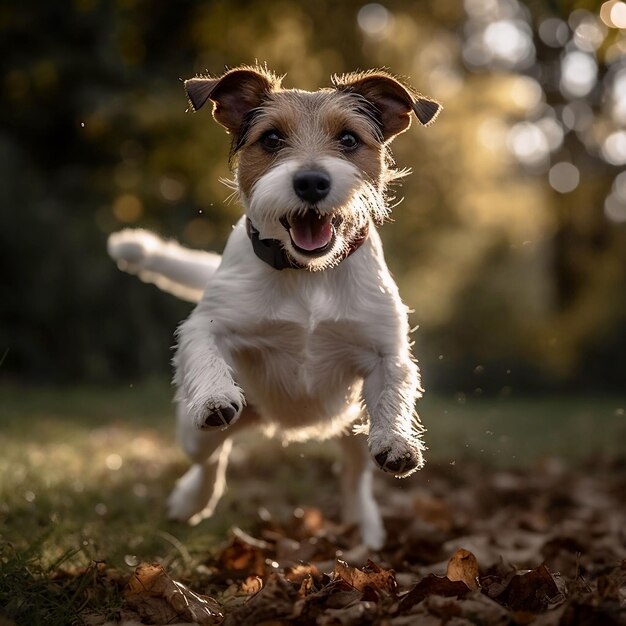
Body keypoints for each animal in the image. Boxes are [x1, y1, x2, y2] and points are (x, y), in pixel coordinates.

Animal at [107, 66, 438, 548]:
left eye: (349, 139)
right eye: (271, 138)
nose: (312, 181)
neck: (308, 274)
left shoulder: (386, 348)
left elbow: (394, 390)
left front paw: (397, 440)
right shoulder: (209, 324)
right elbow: (205, 348)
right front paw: (215, 394)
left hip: (353, 424)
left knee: (354, 475)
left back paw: (365, 522)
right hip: (196, 432)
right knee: (210, 459)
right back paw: (191, 499)